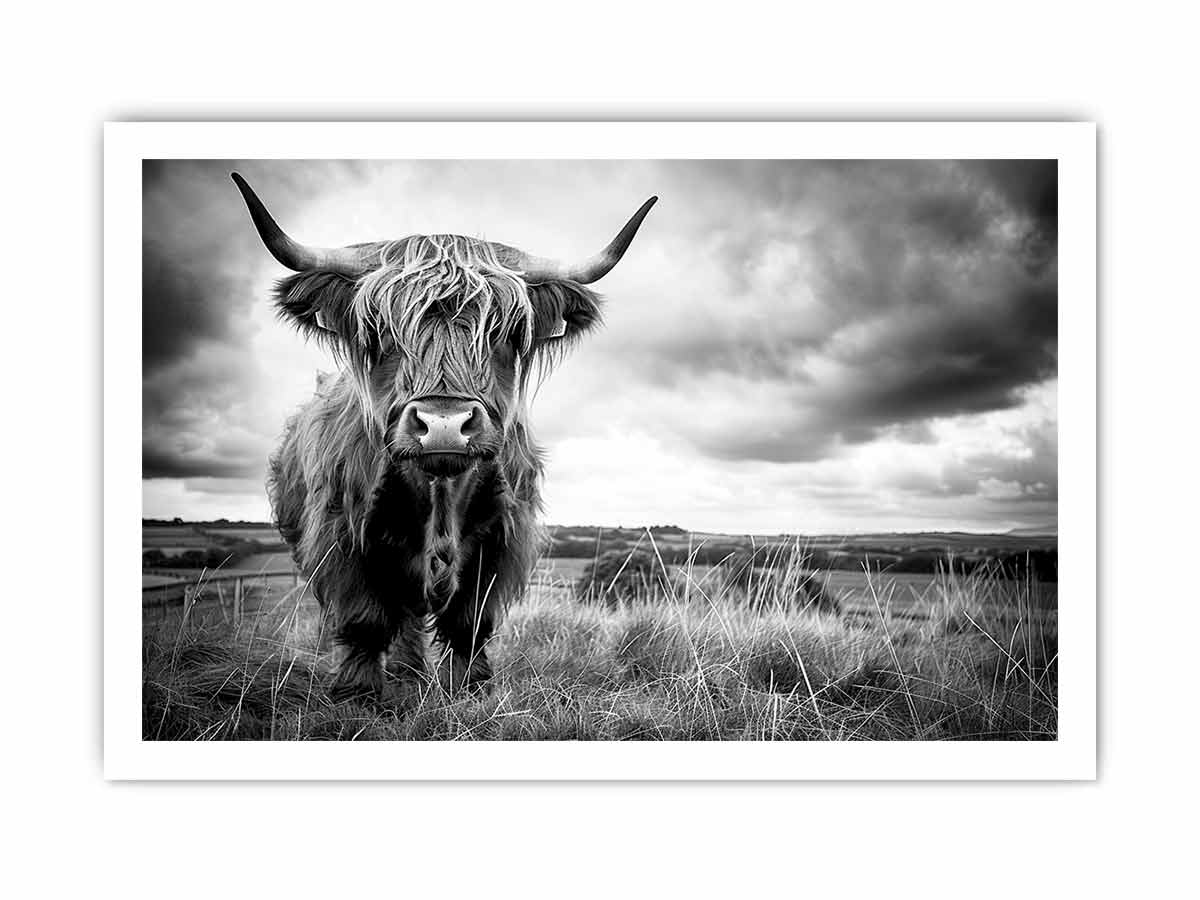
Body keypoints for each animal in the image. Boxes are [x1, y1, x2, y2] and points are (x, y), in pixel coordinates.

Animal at [232, 173, 656, 700]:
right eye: (380, 330)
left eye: (506, 332)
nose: (444, 424)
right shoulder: (341, 535)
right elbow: (365, 619)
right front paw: (358, 693)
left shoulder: (502, 538)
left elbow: (470, 621)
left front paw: (471, 689)